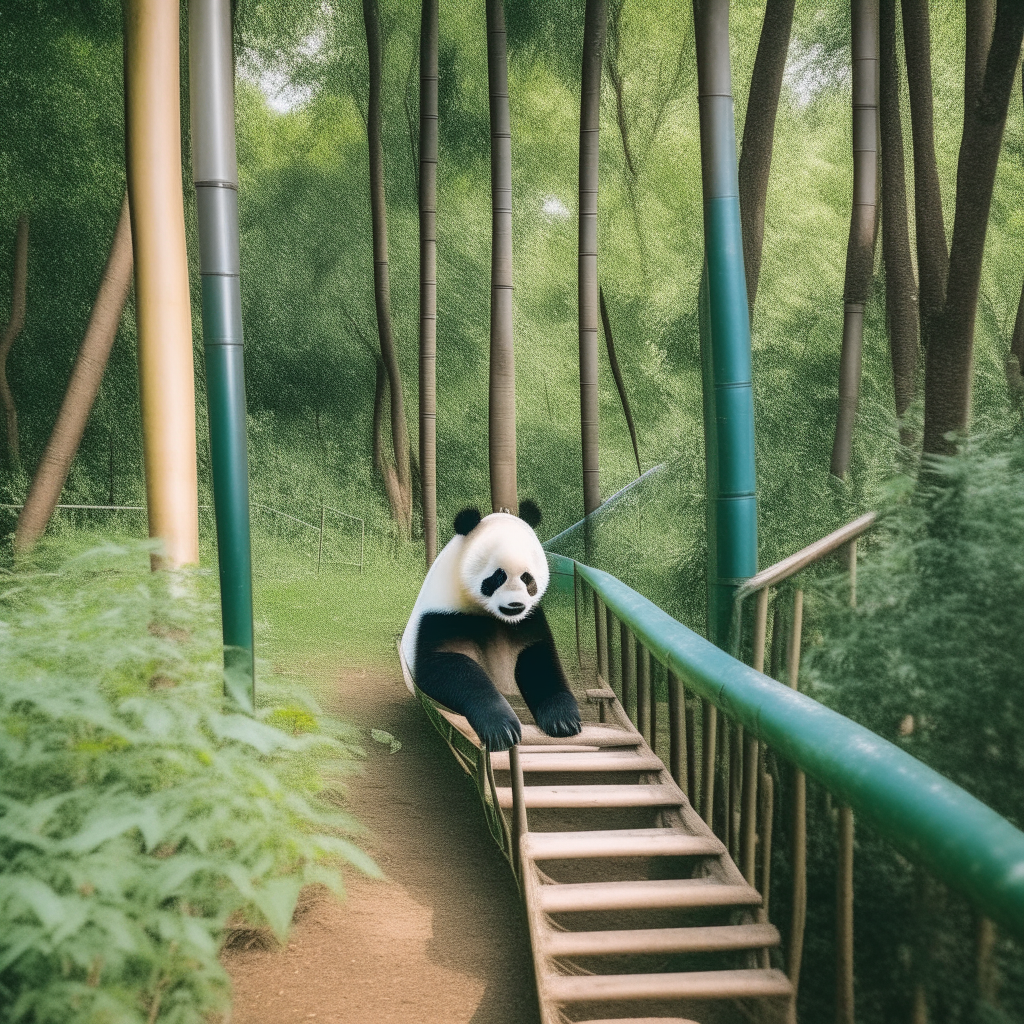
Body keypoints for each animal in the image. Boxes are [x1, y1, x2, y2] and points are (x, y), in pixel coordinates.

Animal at [403, 503, 589, 753]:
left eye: (527, 578)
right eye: (498, 576)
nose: (515, 605)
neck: (493, 616)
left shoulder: (529, 621)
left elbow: (540, 663)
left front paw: (563, 720)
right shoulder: (442, 618)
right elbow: (448, 667)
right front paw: (502, 729)